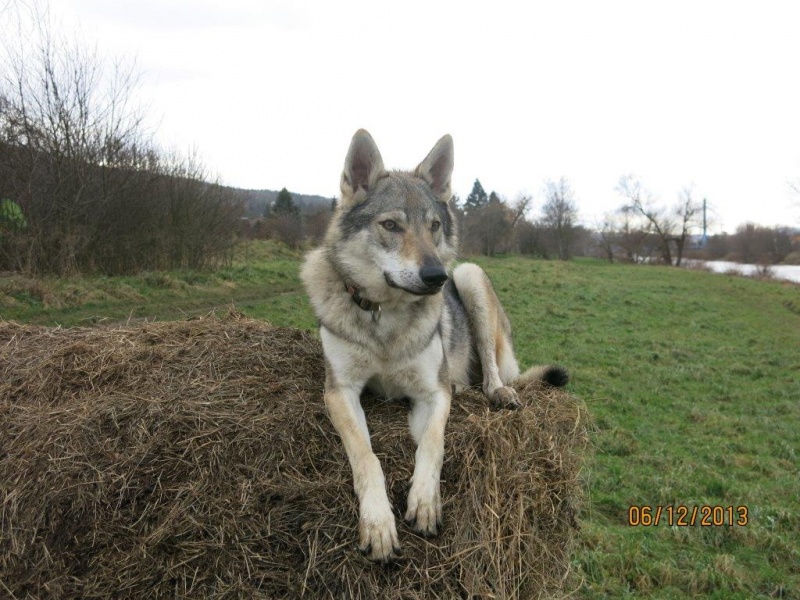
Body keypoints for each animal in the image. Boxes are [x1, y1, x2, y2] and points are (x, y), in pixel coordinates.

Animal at [300, 127, 568, 564]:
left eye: (435, 226)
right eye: (391, 225)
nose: (435, 276)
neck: (386, 317)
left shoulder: (433, 393)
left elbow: (432, 444)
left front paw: (425, 502)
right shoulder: (340, 391)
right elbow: (366, 456)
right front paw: (378, 525)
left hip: (471, 277)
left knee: (491, 373)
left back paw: (500, 392)